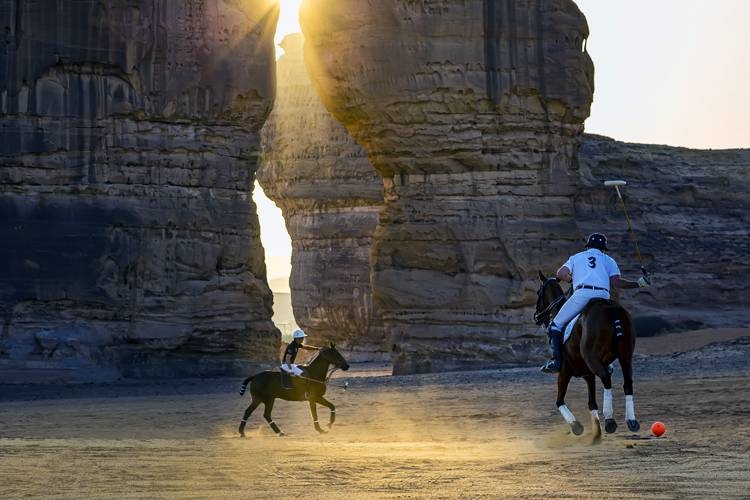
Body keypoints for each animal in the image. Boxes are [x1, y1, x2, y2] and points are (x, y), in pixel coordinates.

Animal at [536, 272, 640, 440]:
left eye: (538, 292)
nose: (537, 316)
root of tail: (611, 308)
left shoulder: (564, 371)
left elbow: (559, 401)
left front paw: (576, 426)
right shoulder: (588, 375)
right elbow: (592, 404)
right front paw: (596, 434)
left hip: (592, 359)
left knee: (606, 379)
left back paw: (610, 421)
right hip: (626, 356)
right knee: (628, 383)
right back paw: (631, 421)